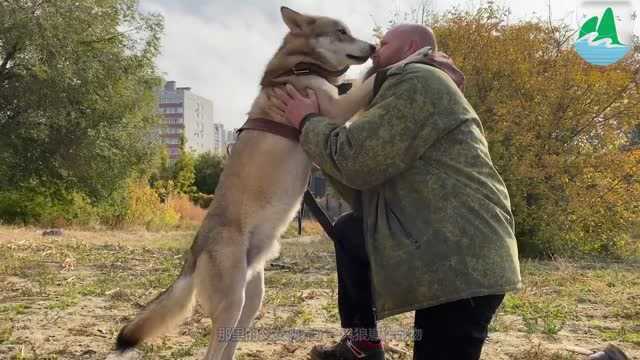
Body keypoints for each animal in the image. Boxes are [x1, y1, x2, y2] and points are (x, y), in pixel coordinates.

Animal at [115, 5, 430, 360]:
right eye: (341, 32)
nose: (374, 47)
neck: (299, 67)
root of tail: (193, 253)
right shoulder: (336, 108)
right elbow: (373, 77)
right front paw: (417, 54)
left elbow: (361, 79)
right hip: (232, 302)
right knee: (214, 350)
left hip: (251, 300)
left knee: (230, 343)